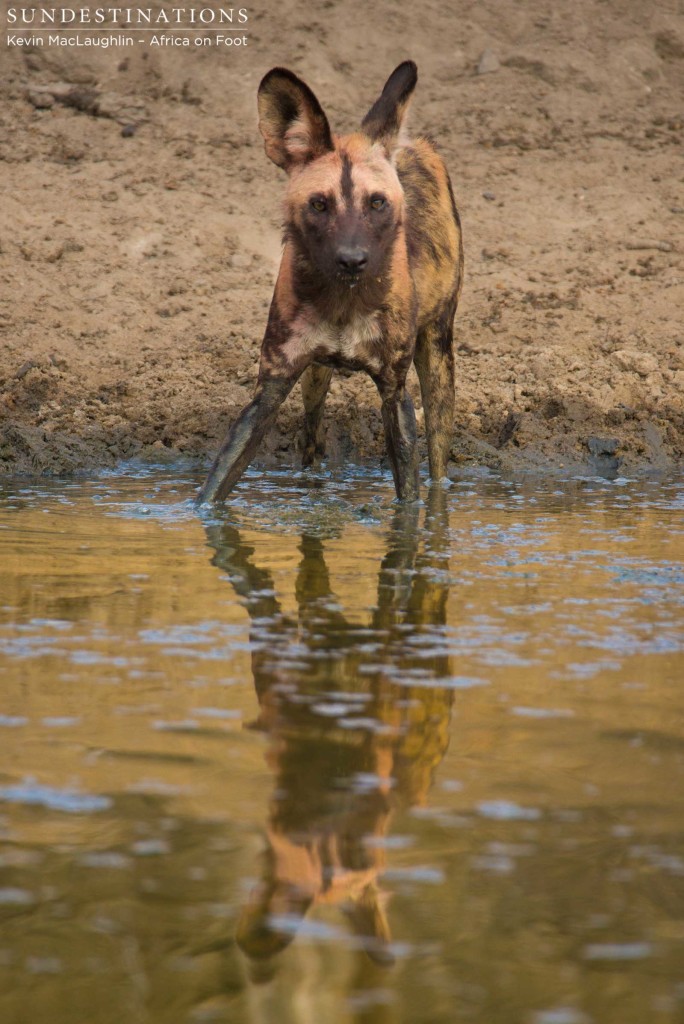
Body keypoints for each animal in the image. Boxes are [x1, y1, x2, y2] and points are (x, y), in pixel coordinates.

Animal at [197, 59, 464, 503]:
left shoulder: (395, 395)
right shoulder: (269, 390)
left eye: (377, 203)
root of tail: (413, 144)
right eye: (319, 204)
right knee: (312, 441)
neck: (344, 302)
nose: (352, 260)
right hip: (314, 378)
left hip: (438, 359)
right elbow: (212, 490)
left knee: (438, 464)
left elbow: (408, 502)